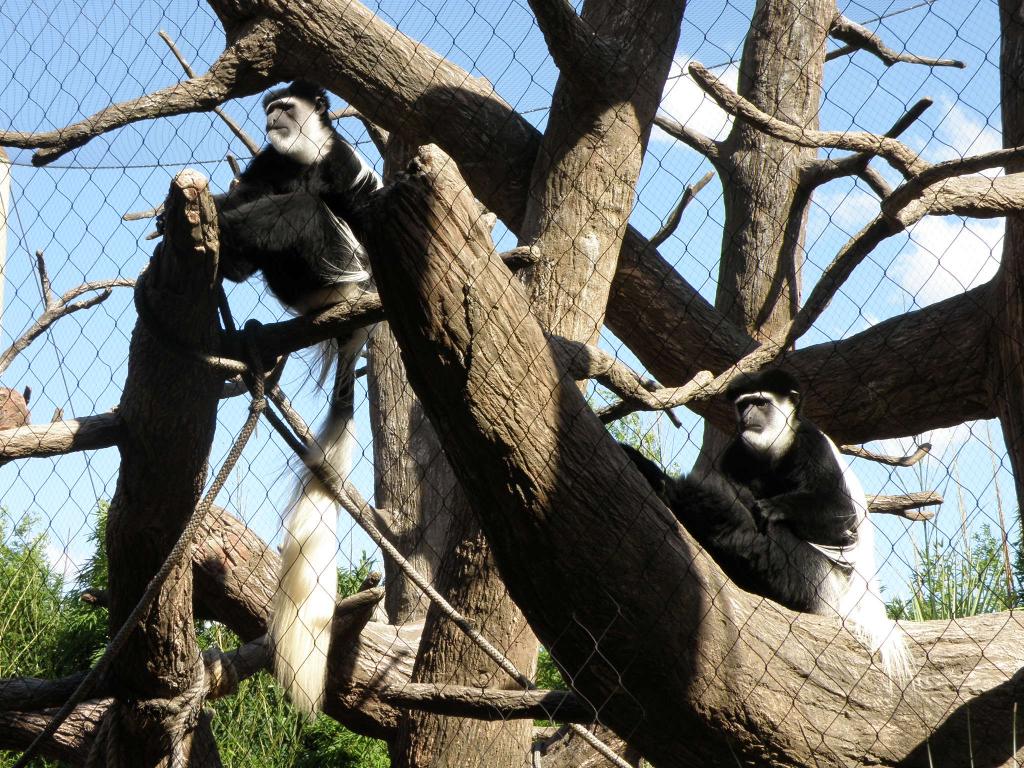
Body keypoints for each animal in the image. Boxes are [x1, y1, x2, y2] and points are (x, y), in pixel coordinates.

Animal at [215, 81, 380, 712]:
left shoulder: (342, 163)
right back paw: (227, 248)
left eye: (284, 108)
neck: (304, 154)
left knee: (307, 213)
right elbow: (255, 184)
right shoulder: (269, 161)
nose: (270, 120)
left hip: (340, 264)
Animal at [622, 370, 913, 684]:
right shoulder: (738, 451)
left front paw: (771, 508)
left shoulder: (811, 443)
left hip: (818, 580)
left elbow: (840, 516)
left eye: (761, 403)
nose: (746, 415)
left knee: (767, 539)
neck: (775, 449)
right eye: (743, 404)